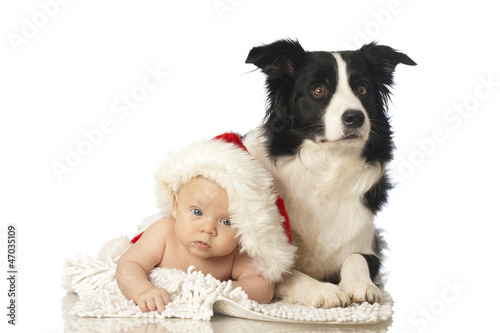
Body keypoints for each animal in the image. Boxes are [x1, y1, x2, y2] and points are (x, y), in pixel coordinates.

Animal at [240, 39, 416, 306]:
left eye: (362, 90)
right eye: (318, 90)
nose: (355, 117)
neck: (327, 166)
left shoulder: (368, 241)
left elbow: (356, 257)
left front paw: (360, 284)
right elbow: (288, 273)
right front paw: (323, 290)